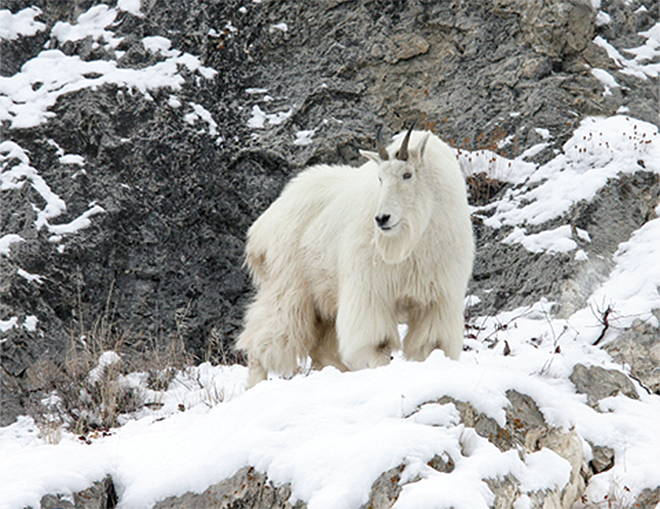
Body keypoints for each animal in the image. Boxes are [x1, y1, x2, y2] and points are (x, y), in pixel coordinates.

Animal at [237, 125, 474, 386]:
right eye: (380, 178)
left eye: (407, 174)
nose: (382, 219)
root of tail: (263, 225)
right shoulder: (371, 291)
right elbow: (379, 345)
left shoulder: (437, 298)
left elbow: (431, 345)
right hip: (288, 287)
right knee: (265, 337)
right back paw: (255, 385)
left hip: (324, 299)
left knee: (322, 350)